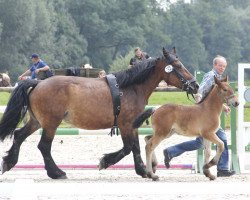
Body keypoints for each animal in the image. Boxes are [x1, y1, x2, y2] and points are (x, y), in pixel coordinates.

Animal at [0, 47, 198, 179]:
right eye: (177, 65)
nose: (195, 85)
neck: (130, 87)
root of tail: (37, 83)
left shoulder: (133, 124)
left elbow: (134, 147)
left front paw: (142, 170)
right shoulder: (125, 124)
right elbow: (128, 147)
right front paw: (106, 161)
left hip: (36, 122)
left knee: (18, 136)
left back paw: (9, 162)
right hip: (50, 123)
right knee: (43, 146)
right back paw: (56, 172)